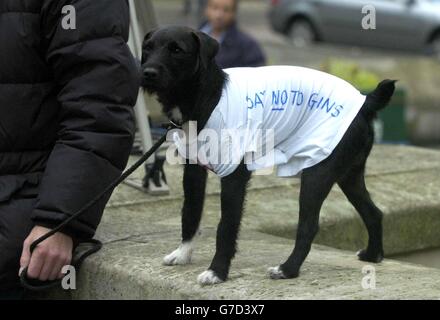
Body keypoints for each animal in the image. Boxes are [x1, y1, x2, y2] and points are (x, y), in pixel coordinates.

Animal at [141, 25, 396, 284]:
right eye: (147, 48)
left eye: (176, 50)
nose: (147, 72)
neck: (208, 98)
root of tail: (365, 102)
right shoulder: (193, 171)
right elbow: (190, 213)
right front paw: (183, 254)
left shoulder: (234, 177)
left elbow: (226, 226)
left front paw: (217, 271)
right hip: (348, 174)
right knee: (374, 213)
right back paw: (373, 254)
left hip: (317, 174)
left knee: (309, 226)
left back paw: (288, 269)